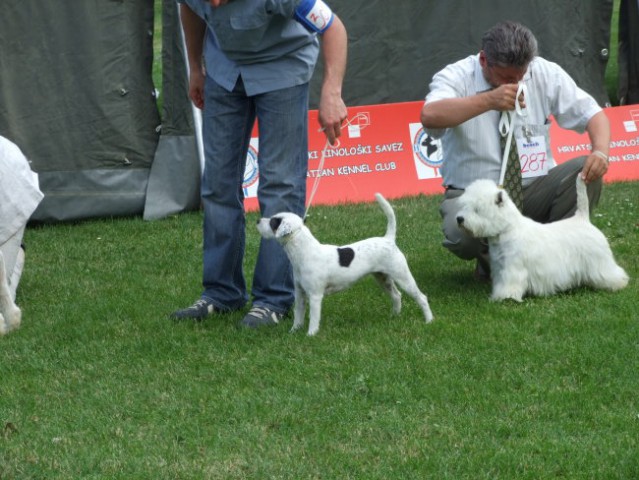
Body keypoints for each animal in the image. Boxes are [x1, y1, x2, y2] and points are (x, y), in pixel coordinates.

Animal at [256, 193, 436, 336]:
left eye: (273, 222)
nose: (258, 220)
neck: (305, 251)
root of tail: (388, 239)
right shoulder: (300, 294)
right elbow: (298, 315)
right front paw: (293, 332)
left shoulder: (315, 296)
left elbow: (314, 318)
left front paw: (311, 335)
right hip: (383, 278)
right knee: (397, 296)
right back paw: (395, 316)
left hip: (402, 276)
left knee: (421, 297)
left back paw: (429, 320)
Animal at [456, 174, 632, 302]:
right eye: (464, 206)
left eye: (477, 209)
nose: (459, 219)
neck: (507, 230)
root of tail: (583, 218)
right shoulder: (500, 267)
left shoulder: (513, 267)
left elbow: (511, 283)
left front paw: (506, 297)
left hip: (599, 260)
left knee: (611, 272)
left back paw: (619, 284)